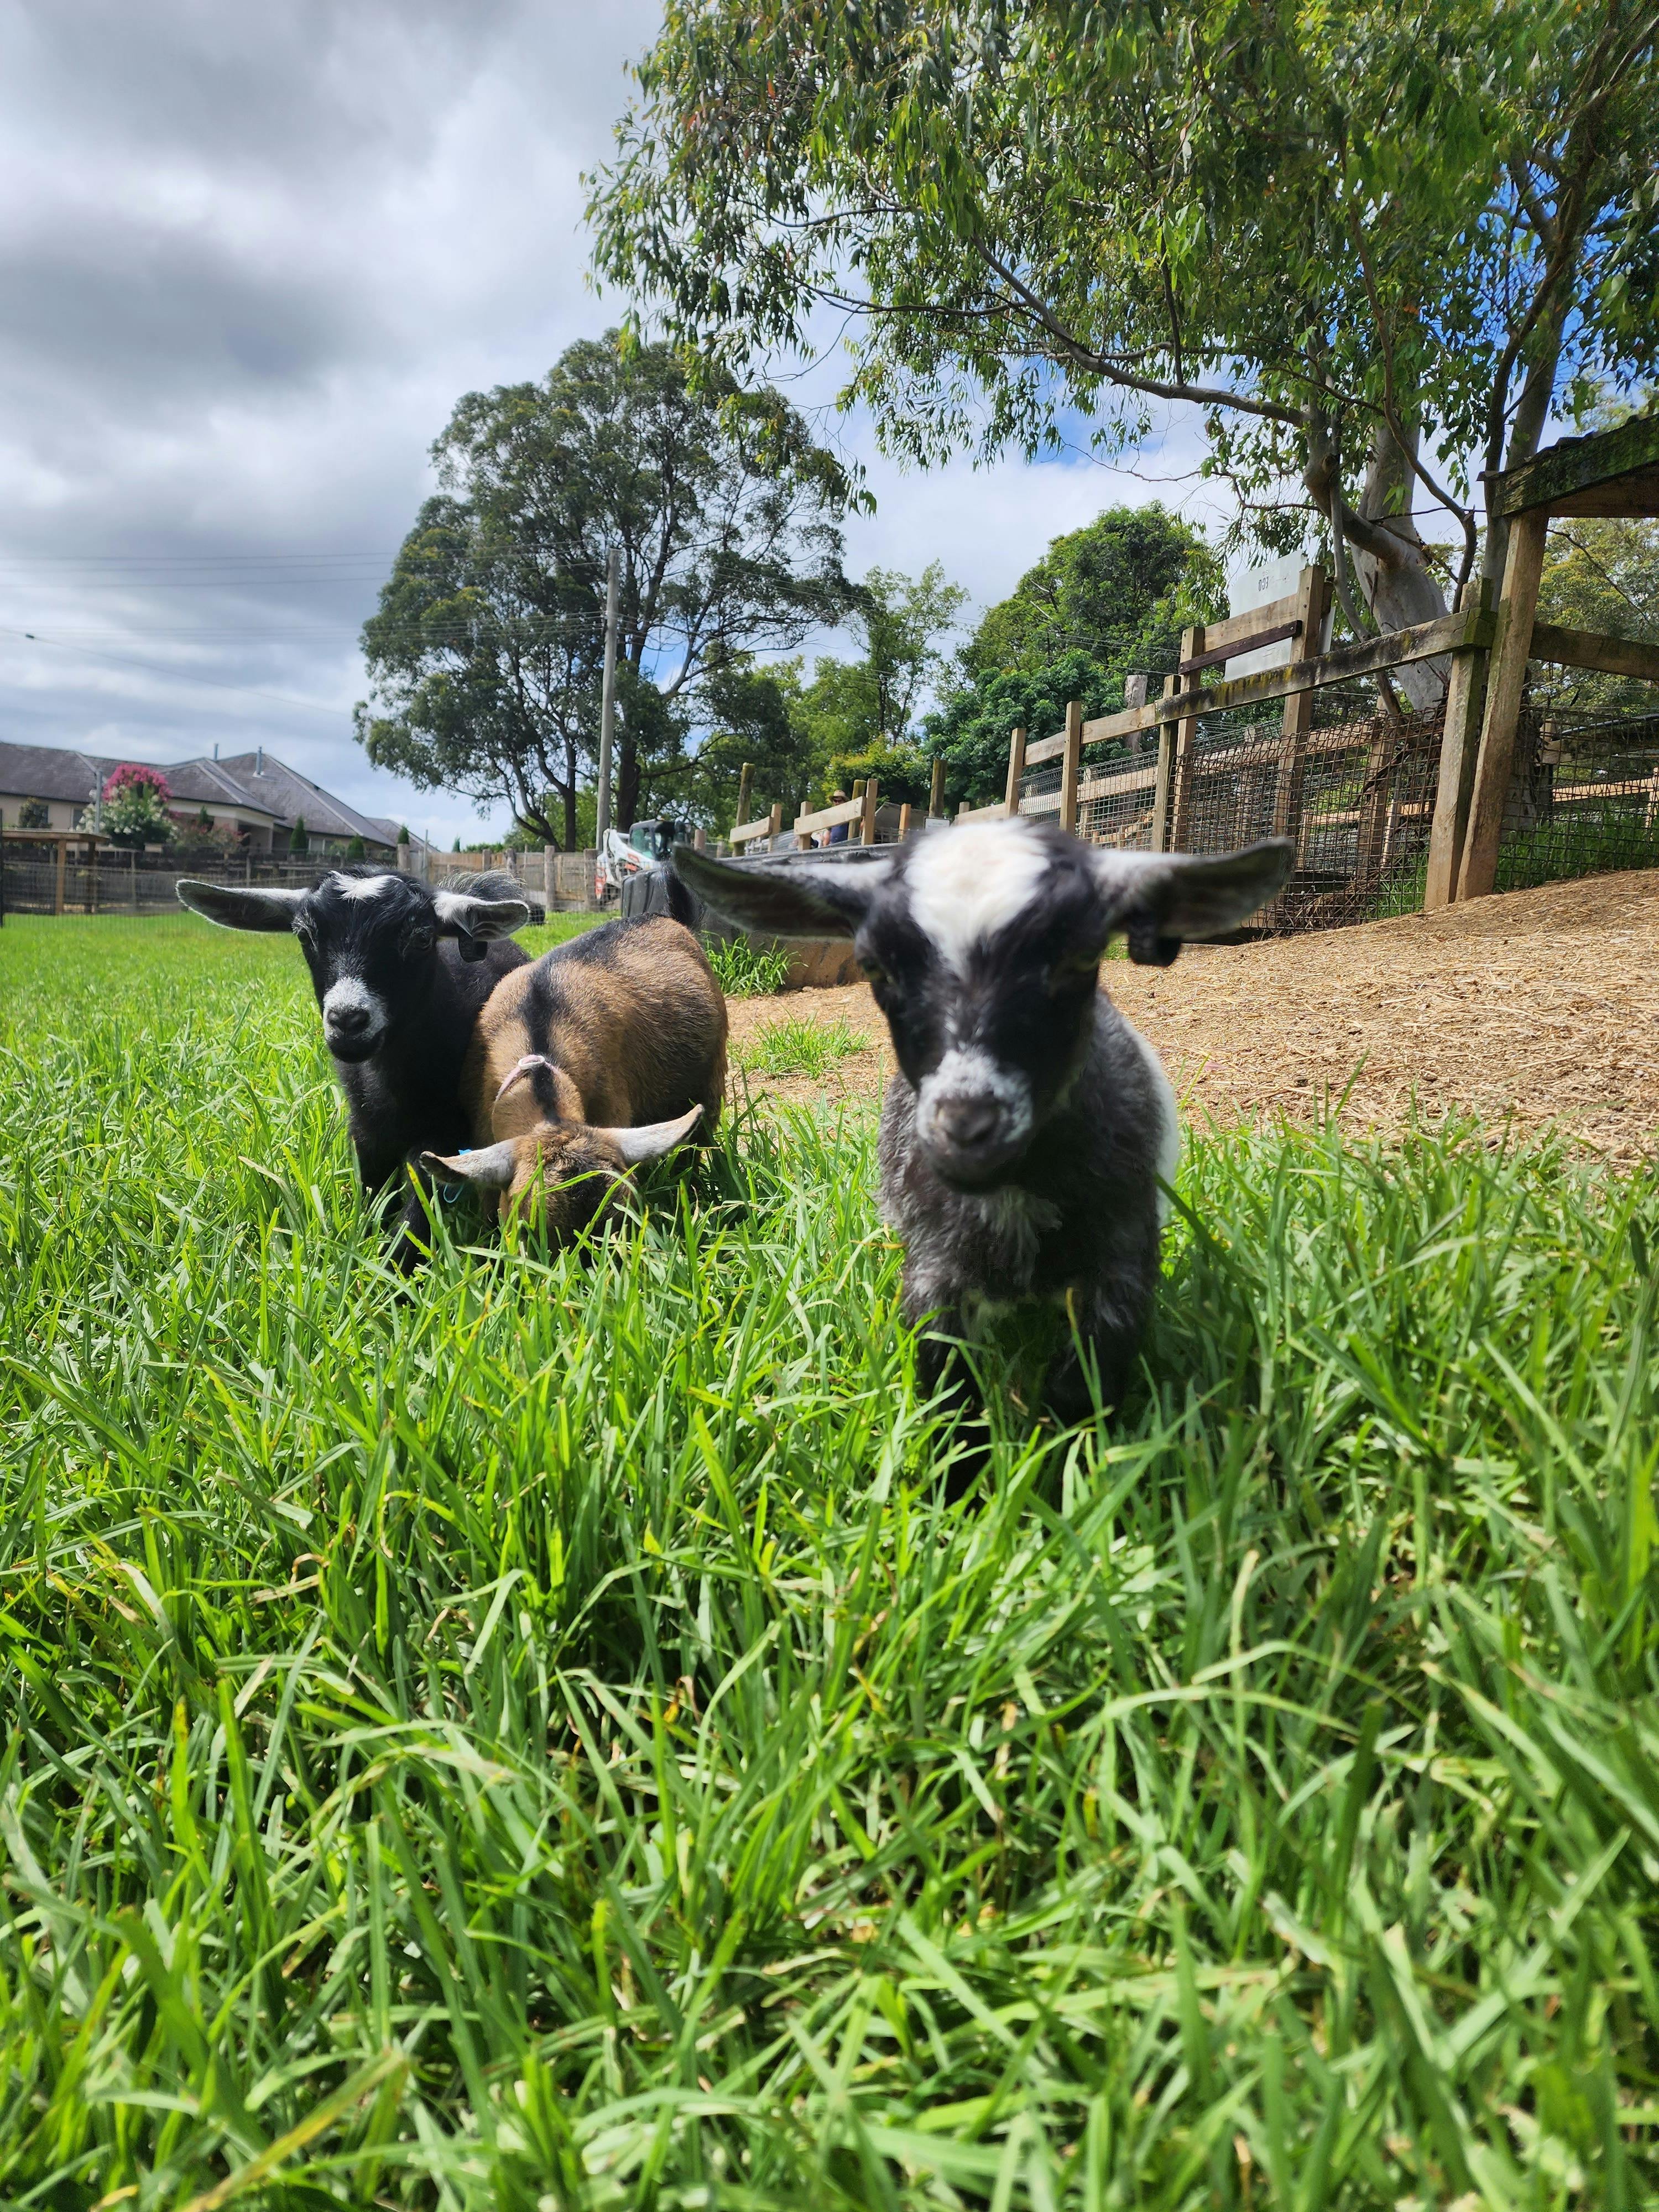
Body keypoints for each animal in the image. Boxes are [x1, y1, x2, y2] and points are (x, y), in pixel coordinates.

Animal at [176, 868, 532, 1261]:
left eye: (422, 937)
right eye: (305, 935)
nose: (347, 1021)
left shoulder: (445, 1128)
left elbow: (420, 1202)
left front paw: (394, 1265)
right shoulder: (364, 1127)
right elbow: (372, 1188)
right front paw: (361, 1241)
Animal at [674, 821, 1290, 1427]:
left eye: (1081, 955)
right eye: (875, 966)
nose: (966, 1129)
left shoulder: (1126, 1257)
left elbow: (1079, 1392)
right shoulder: (933, 1270)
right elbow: (949, 1394)